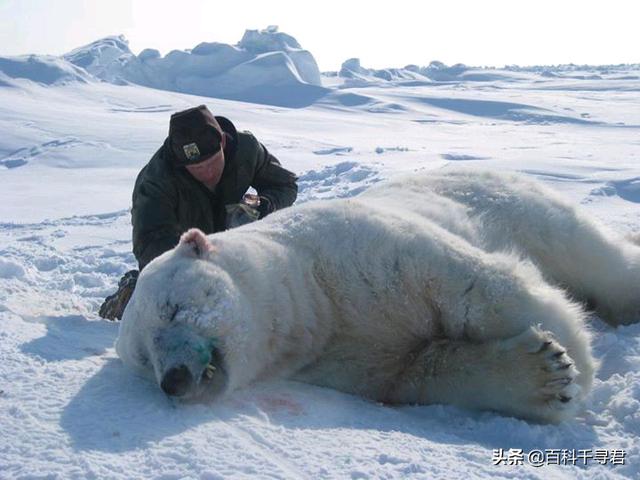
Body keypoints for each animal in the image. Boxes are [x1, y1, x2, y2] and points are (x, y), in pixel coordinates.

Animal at [116, 170, 640, 424]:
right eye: (145, 358)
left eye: (173, 309)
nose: (175, 380)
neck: (312, 295)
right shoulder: (338, 359)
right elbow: (416, 372)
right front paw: (544, 376)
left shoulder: (364, 250)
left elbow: (477, 287)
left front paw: (576, 358)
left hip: (522, 207)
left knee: (595, 258)